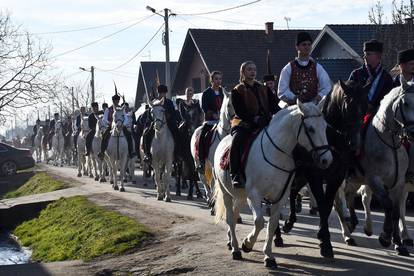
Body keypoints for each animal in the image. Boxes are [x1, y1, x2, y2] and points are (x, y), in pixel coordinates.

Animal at [213, 100, 334, 268]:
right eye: (310, 129)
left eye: (324, 126)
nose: (326, 160)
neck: (276, 152)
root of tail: (224, 140)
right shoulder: (254, 195)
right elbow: (259, 222)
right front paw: (247, 244)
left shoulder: (280, 197)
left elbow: (272, 225)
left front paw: (269, 256)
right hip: (226, 193)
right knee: (230, 218)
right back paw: (236, 249)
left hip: (241, 195)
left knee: (235, 214)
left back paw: (231, 241)